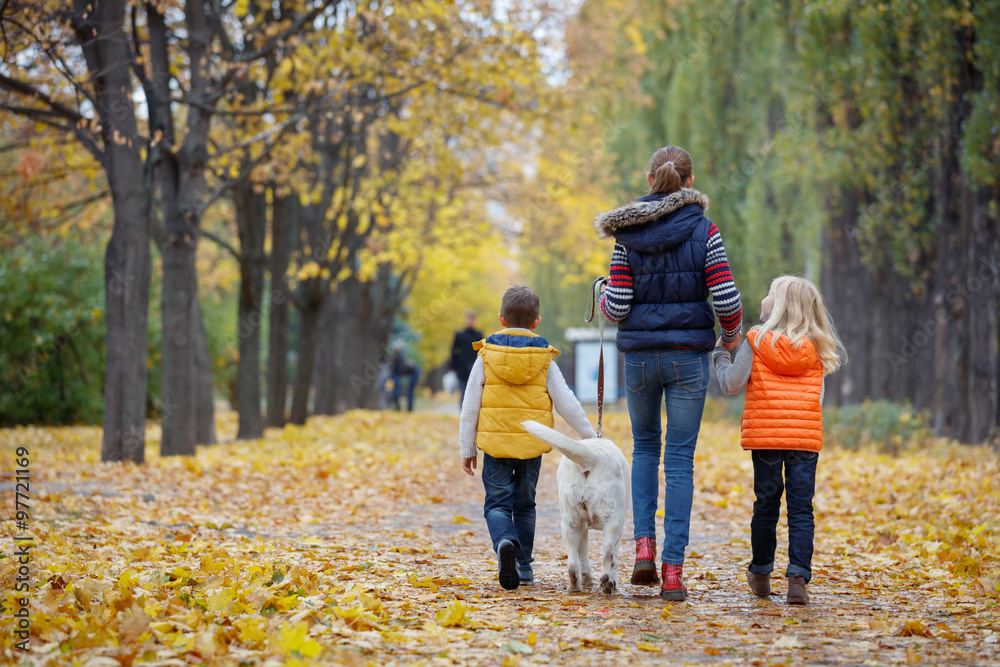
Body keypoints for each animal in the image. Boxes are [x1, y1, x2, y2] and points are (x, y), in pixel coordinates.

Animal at [520, 420, 628, 596]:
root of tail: (593, 455)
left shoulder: (582, 528)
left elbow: (582, 555)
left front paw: (587, 578)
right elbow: (615, 559)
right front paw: (614, 582)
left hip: (570, 524)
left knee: (572, 564)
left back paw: (575, 587)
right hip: (613, 521)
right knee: (608, 553)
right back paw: (607, 583)